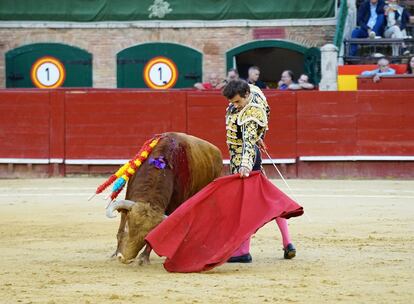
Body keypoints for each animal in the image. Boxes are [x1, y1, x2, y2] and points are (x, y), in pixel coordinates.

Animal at [106, 132, 223, 264]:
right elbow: (121, 227)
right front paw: (115, 253)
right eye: (128, 226)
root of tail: (216, 151)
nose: (125, 258)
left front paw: (144, 258)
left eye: (146, 237)